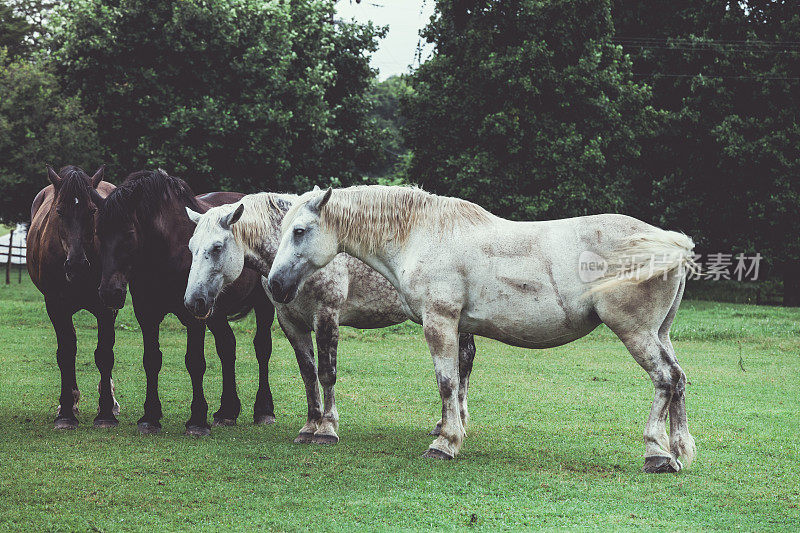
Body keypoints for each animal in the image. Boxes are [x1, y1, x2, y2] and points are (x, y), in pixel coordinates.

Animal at [27, 166, 121, 428]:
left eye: (92, 211)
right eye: (59, 211)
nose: (76, 265)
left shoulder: (107, 307)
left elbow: (104, 354)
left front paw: (106, 412)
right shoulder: (56, 306)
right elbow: (66, 353)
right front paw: (66, 412)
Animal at [92, 168, 276, 434]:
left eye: (128, 234)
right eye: (98, 234)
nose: (109, 292)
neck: (168, 250)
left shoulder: (194, 315)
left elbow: (195, 362)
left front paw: (197, 419)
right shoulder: (148, 315)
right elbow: (151, 360)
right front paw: (150, 416)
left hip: (263, 307)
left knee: (262, 349)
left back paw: (264, 410)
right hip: (215, 312)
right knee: (227, 348)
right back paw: (227, 411)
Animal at [184, 193, 478, 442]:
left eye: (217, 247)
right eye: (190, 247)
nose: (193, 301)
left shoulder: (326, 317)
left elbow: (326, 374)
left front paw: (326, 428)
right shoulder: (292, 324)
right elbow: (308, 374)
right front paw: (309, 427)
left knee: (463, 362)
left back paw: (456, 423)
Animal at [266, 185, 696, 472]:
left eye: (299, 231)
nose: (275, 285)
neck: (422, 234)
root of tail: (669, 242)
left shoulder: (440, 322)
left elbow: (447, 382)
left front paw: (445, 443)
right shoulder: (457, 327)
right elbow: (457, 381)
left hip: (635, 332)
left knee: (664, 378)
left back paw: (656, 453)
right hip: (659, 333)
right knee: (678, 378)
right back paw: (678, 449)